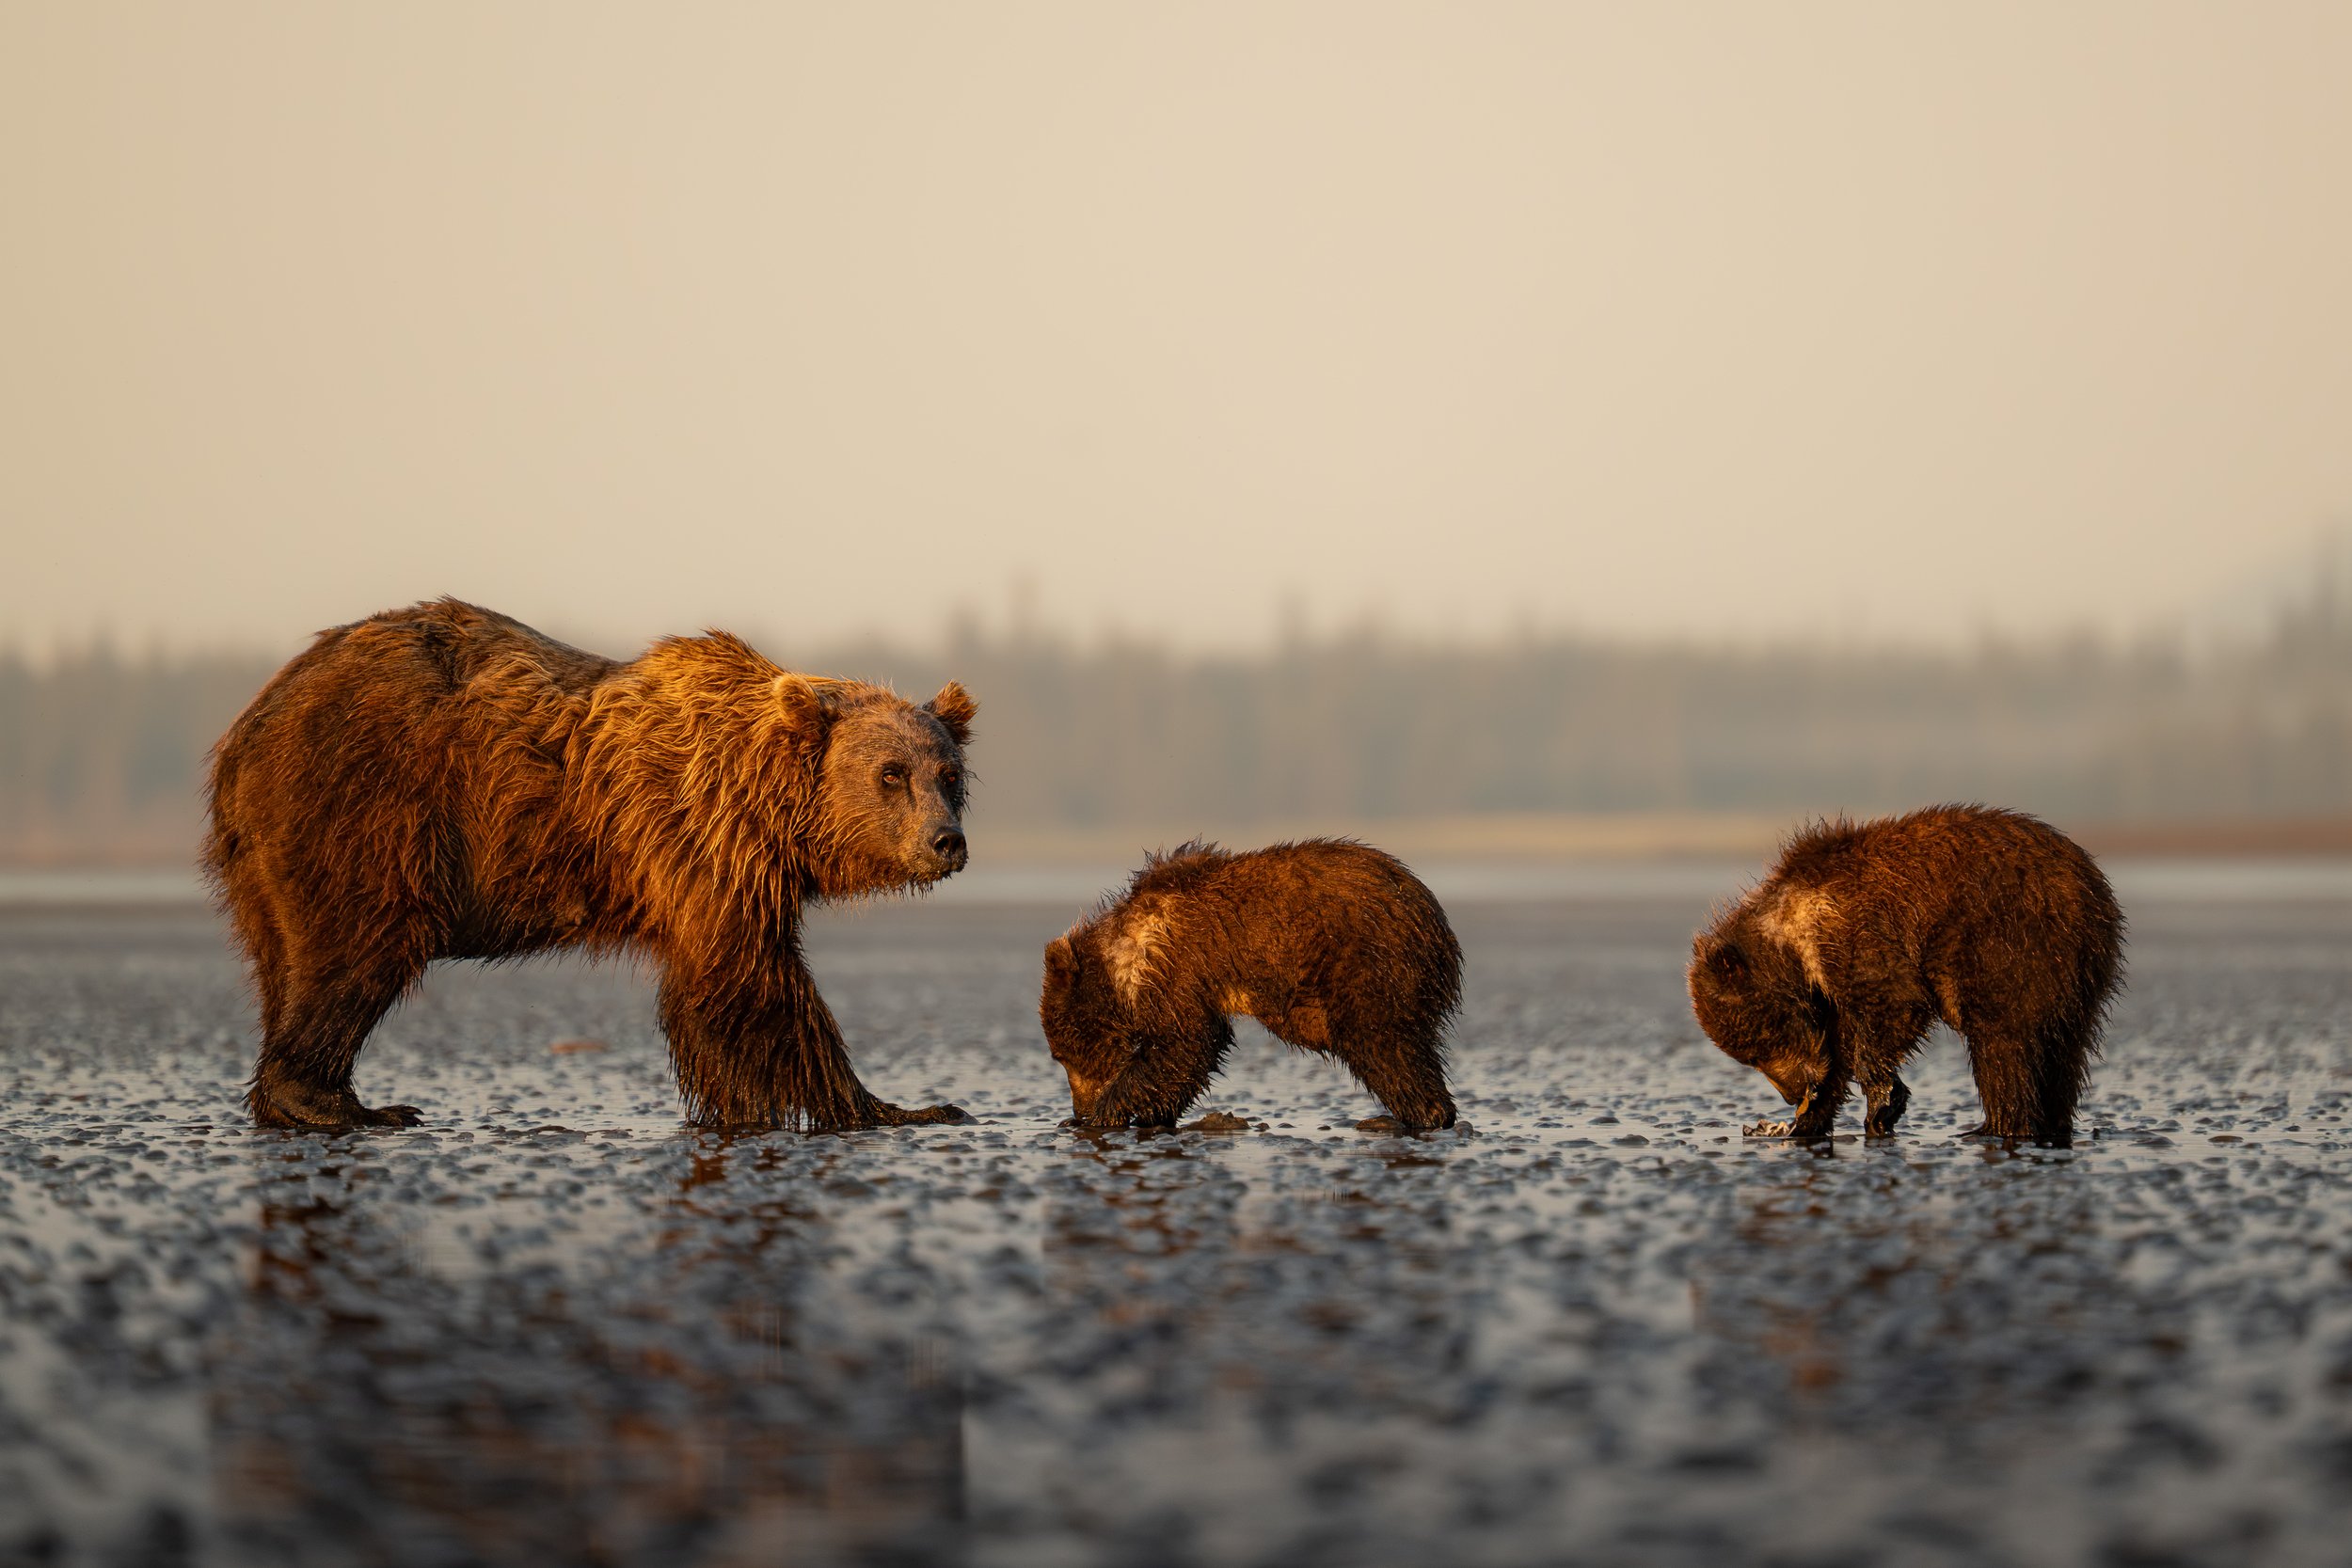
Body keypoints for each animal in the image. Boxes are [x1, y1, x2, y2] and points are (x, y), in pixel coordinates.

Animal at [203, 597, 978, 1133]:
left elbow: (721, 998)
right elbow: (750, 984)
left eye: (948, 774)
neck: (766, 803)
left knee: (288, 961)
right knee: (358, 945)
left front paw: (740, 1104)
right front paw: (901, 1106)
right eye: (890, 773)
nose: (946, 841)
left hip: (267, 860)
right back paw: (347, 1104)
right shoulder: (698, 840)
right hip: (369, 809)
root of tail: (250, 722)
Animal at [1039, 839, 1462, 1132]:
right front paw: (1152, 1113)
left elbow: (1186, 1044)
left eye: (1062, 1055)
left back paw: (1416, 1114)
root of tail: (1439, 922)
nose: (1077, 1109)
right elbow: (1188, 1056)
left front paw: (1106, 1113)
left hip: (1370, 962)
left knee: (1383, 1042)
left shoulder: (1175, 968)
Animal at [1688, 804, 2124, 1147]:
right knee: (2063, 1054)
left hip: (2011, 944)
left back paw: (1995, 1125)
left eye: (1760, 1045)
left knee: (2002, 1042)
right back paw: (2050, 1121)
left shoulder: (1854, 931)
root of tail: (2093, 889)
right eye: (1750, 1057)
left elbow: (1895, 1002)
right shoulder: (1828, 993)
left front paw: (1883, 1099)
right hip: (2080, 976)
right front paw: (1805, 1120)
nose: (1791, 1094)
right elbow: (1837, 1048)